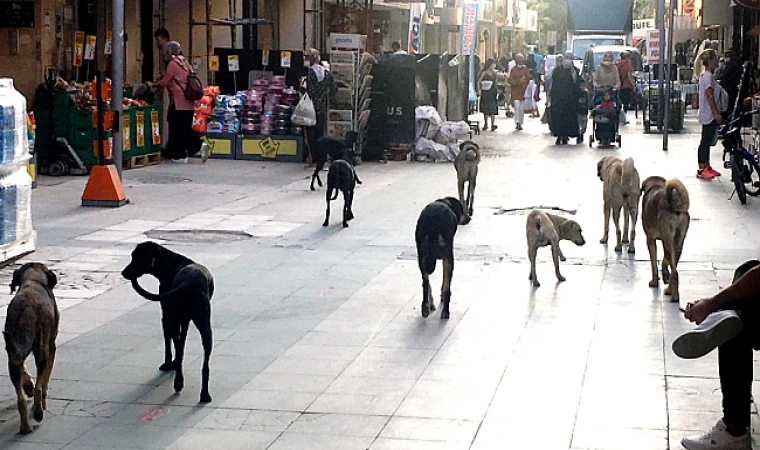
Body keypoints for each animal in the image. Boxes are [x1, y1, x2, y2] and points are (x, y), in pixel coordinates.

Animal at [3, 262, 58, 434]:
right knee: (39, 388)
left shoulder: (13, 349)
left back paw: (25, 426)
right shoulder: (51, 346)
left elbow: (24, 371)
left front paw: (28, 386)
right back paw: (38, 412)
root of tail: (28, 308)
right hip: (42, 350)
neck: (33, 280)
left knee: (20, 399)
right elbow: (45, 380)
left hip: (12, 354)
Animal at [121, 243, 214, 404]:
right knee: (203, 364)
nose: (124, 273)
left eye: (138, 259)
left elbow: (169, 344)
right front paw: (174, 363)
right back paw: (201, 393)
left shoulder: (166, 315)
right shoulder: (183, 319)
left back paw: (180, 382)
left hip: (177, 320)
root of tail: (188, 284)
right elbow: (181, 343)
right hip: (204, 325)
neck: (170, 264)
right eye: (132, 256)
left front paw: (168, 363)